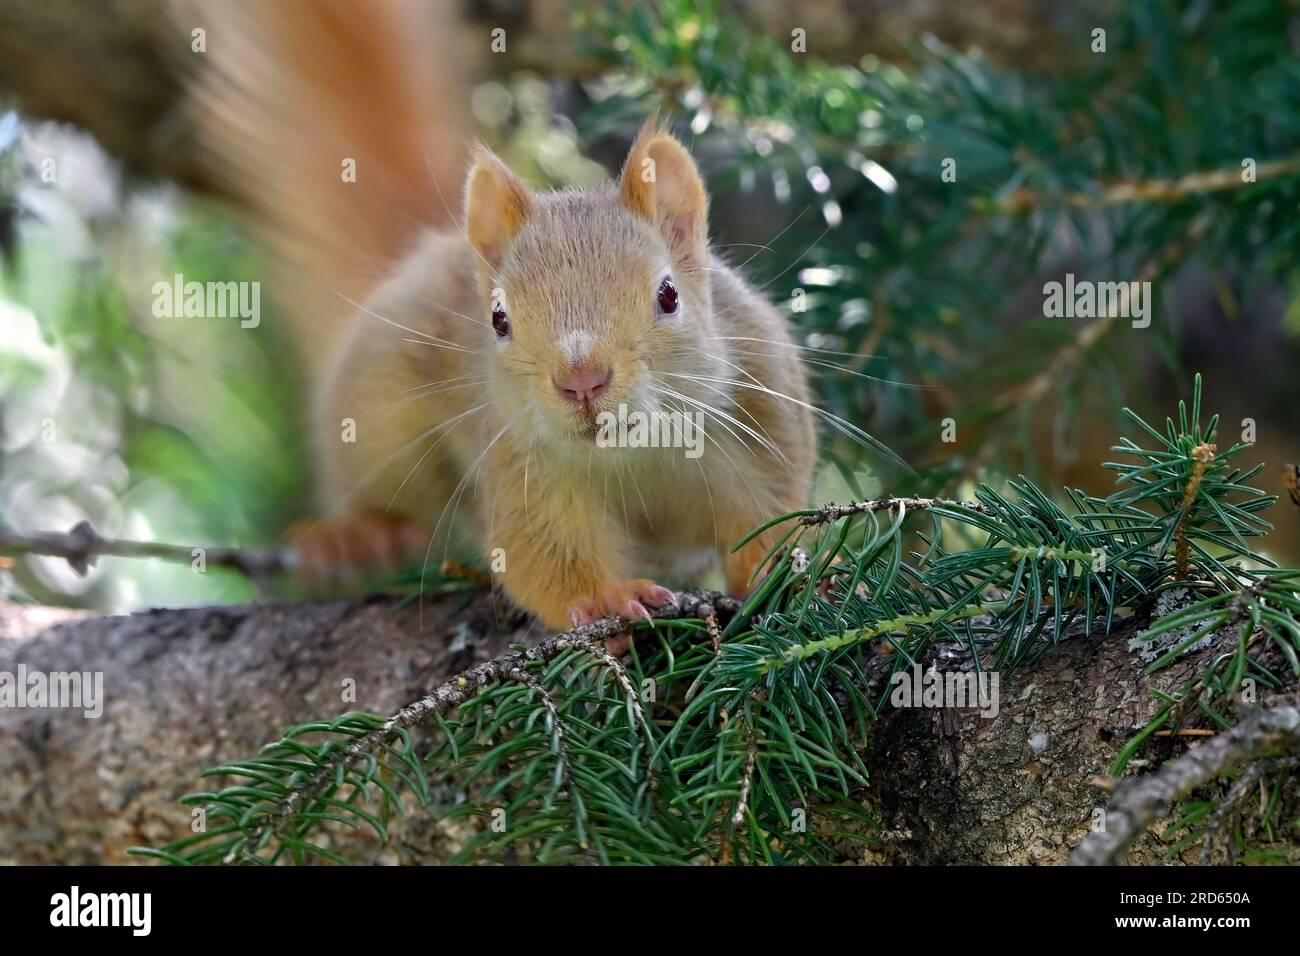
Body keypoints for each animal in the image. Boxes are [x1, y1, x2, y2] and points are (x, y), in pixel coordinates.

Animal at [183, 0, 811, 632]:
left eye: (669, 296)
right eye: (499, 320)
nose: (581, 380)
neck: (633, 456)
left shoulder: (763, 412)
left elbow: (773, 514)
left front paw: (793, 574)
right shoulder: (517, 463)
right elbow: (539, 553)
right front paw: (608, 601)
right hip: (378, 411)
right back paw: (357, 535)